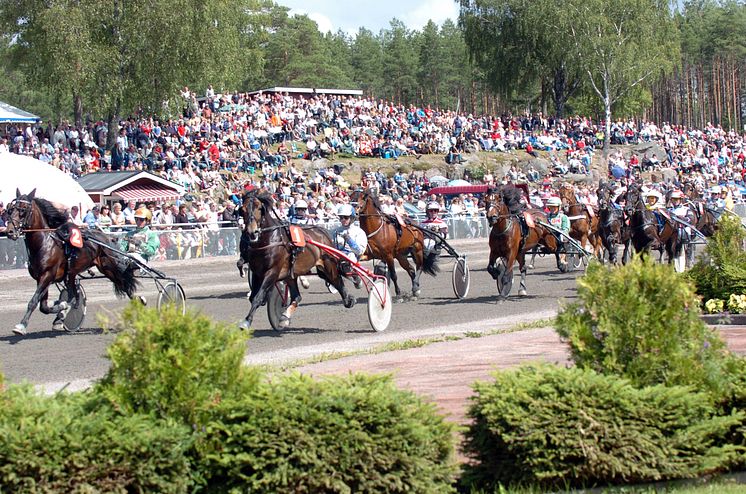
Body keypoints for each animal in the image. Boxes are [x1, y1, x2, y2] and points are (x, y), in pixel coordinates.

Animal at [5, 189, 138, 336]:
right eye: (10, 210)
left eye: (23, 209)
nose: (9, 231)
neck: (45, 243)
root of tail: (106, 237)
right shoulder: (41, 278)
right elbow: (44, 307)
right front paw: (61, 310)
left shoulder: (47, 275)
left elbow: (34, 301)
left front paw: (21, 326)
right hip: (76, 273)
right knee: (75, 295)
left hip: (109, 267)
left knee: (124, 283)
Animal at [238, 191, 354, 330]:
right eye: (243, 210)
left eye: (259, 208)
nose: (252, 232)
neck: (269, 240)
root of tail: (323, 231)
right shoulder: (257, 273)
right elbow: (253, 297)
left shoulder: (272, 272)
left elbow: (258, 297)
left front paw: (246, 322)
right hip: (291, 274)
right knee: (297, 296)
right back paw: (284, 318)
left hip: (328, 264)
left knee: (337, 280)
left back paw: (348, 300)